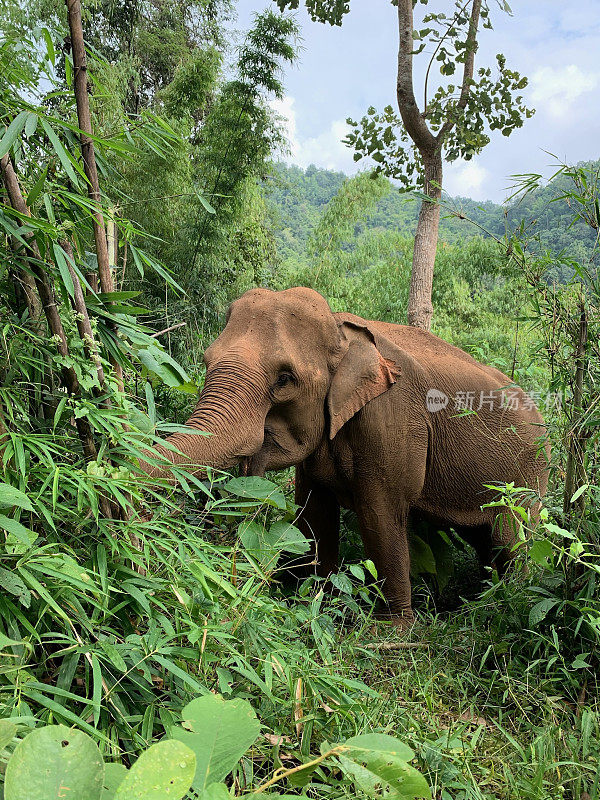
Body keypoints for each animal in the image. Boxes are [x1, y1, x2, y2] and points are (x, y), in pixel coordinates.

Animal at [145, 286, 548, 624]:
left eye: (284, 379)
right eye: (206, 361)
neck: (342, 332)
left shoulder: (390, 419)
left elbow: (381, 516)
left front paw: (393, 629)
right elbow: (314, 516)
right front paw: (314, 602)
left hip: (526, 479)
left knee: (511, 539)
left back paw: (508, 602)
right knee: (485, 540)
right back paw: (484, 599)